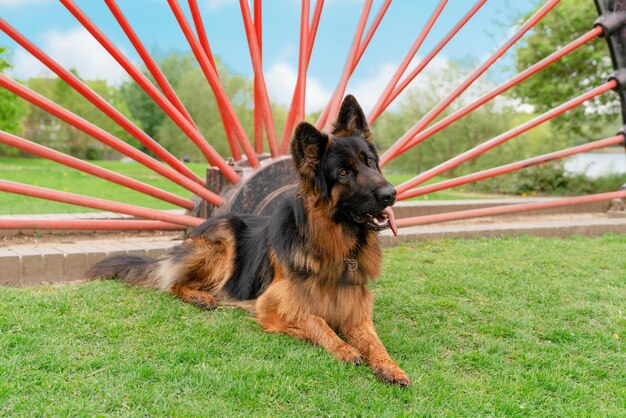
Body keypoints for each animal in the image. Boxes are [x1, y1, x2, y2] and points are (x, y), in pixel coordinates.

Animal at [88, 94, 410, 386]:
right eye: (343, 172)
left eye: (370, 162)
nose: (391, 194)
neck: (337, 244)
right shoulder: (273, 303)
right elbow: (315, 320)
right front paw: (343, 348)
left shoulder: (357, 314)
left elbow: (374, 343)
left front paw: (390, 367)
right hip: (223, 242)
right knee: (172, 283)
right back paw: (201, 296)